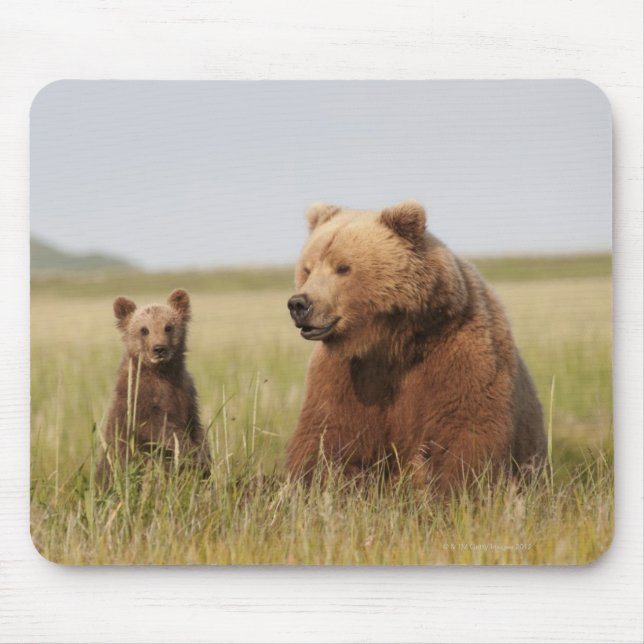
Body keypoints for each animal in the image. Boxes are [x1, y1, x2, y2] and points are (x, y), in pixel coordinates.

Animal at [97, 288, 210, 484]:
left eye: (168, 326)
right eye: (144, 329)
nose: (159, 349)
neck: (162, 372)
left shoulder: (186, 391)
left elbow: (195, 426)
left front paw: (203, 457)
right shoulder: (138, 396)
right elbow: (156, 426)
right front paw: (189, 451)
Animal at [286, 200, 546, 495]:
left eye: (343, 267)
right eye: (307, 269)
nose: (299, 304)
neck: (393, 343)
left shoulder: (458, 352)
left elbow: (465, 426)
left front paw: (456, 491)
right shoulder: (347, 372)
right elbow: (327, 432)